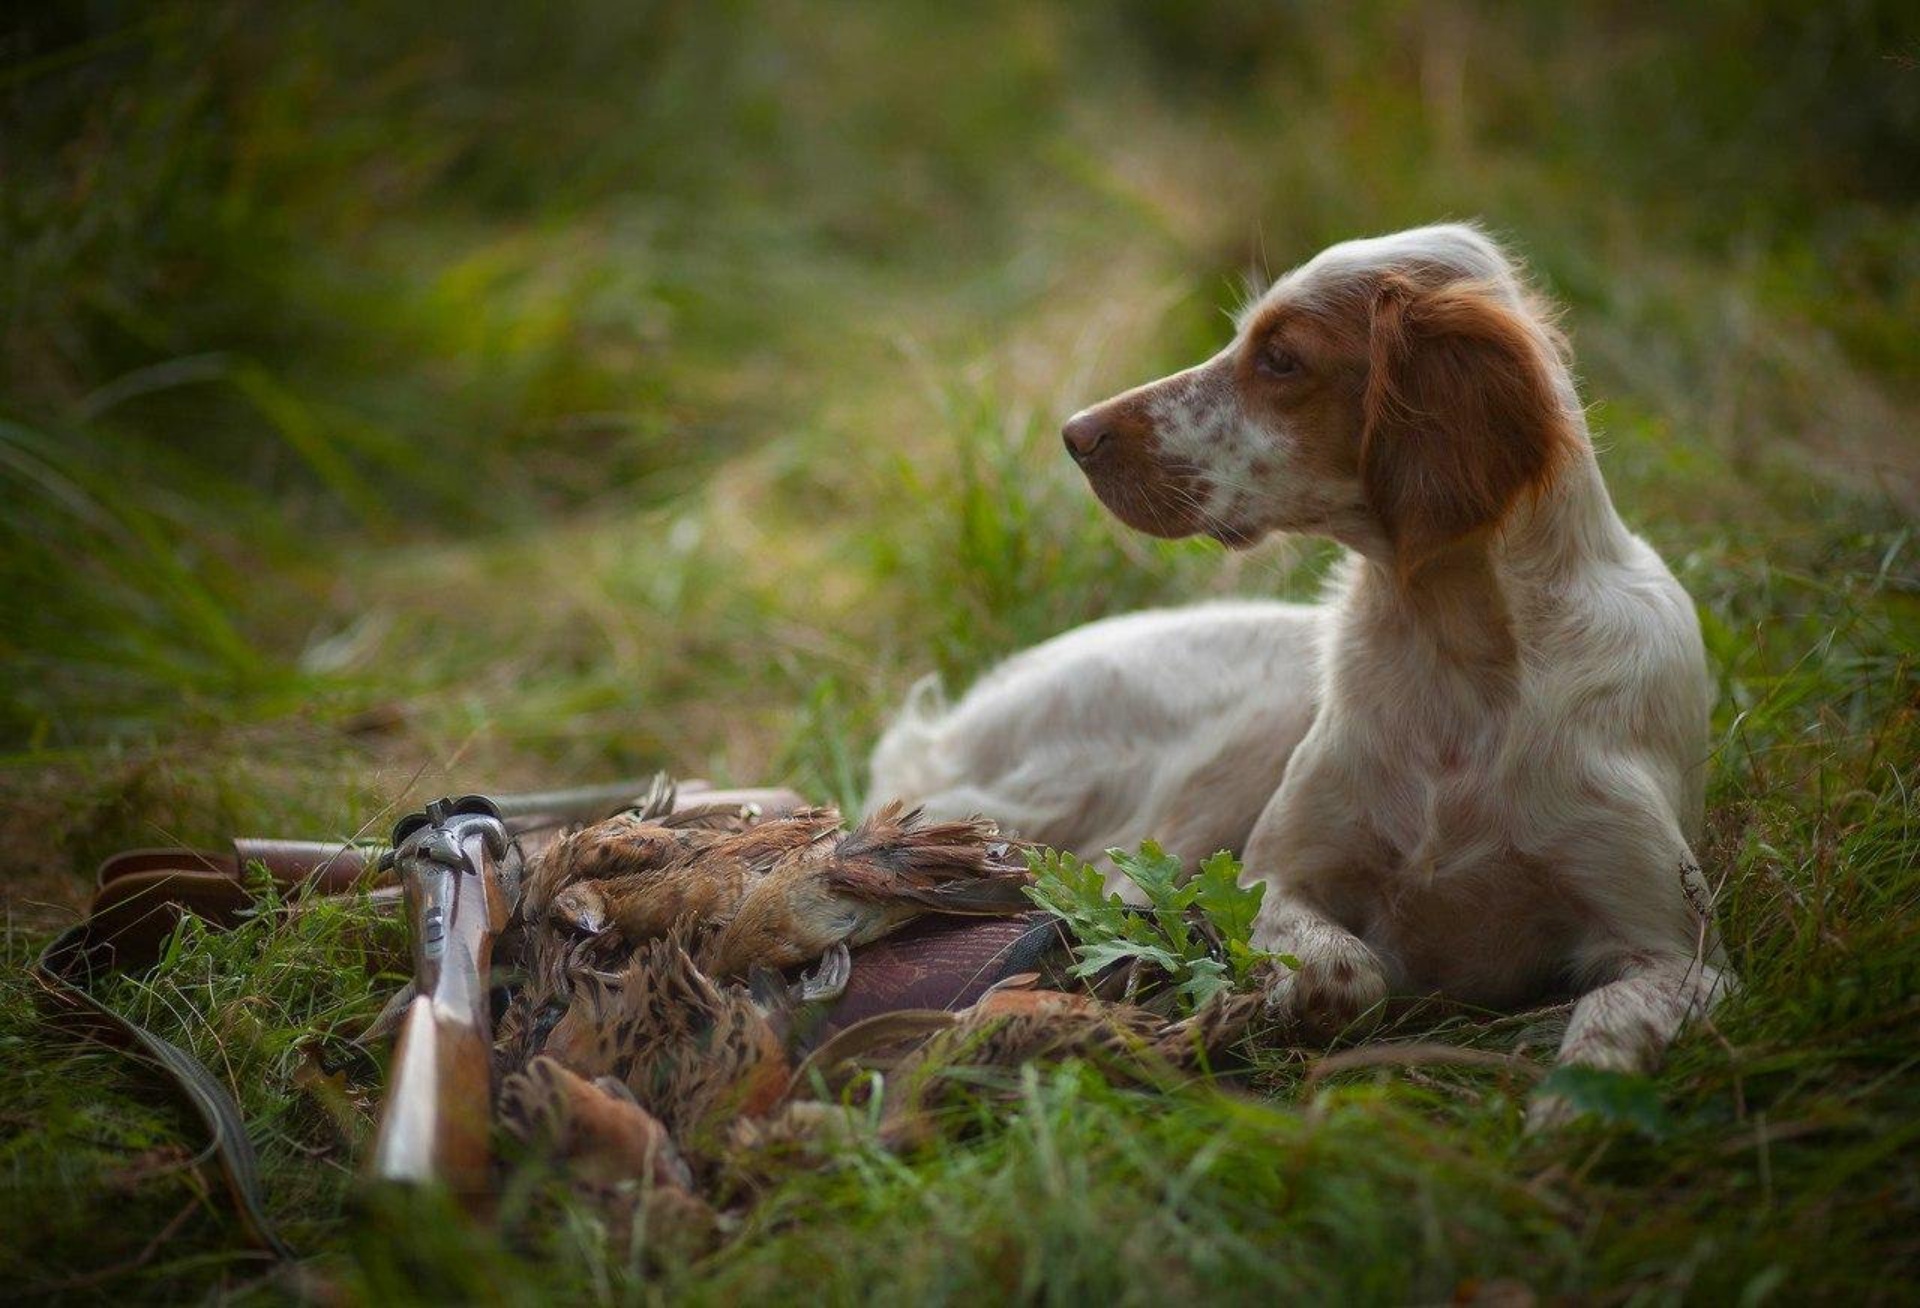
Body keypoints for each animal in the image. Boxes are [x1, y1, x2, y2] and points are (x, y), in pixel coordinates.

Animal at [871, 224, 1728, 1090]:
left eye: (1282, 359)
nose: (1076, 434)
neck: (1460, 653)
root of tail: (951, 725)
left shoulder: (1679, 952)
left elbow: (1604, 1040)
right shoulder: (1273, 875)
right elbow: (1347, 970)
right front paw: (1271, 1000)